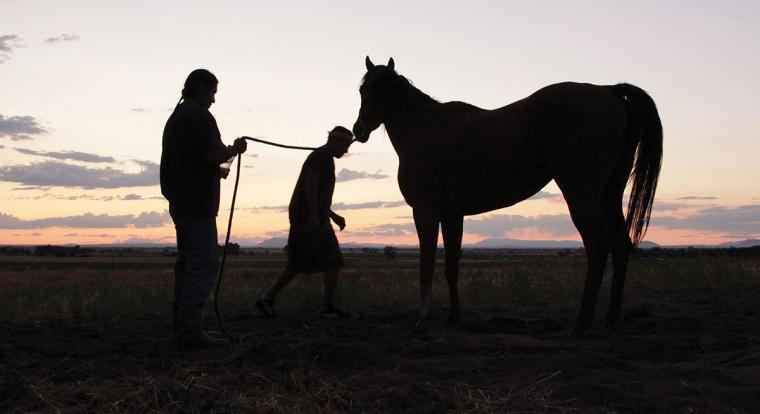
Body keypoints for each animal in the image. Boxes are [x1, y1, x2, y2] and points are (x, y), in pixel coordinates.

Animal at [352, 57, 662, 336]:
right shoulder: (452, 214)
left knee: (598, 247)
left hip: (581, 194)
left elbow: (426, 264)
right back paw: (610, 320)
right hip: (609, 194)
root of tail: (609, 90)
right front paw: (454, 316)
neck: (424, 130)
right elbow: (451, 266)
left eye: (381, 90)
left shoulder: (425, 211)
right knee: (621, 246)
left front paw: (422, 318)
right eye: (363, 90)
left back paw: (581, 323)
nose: (359, 130)